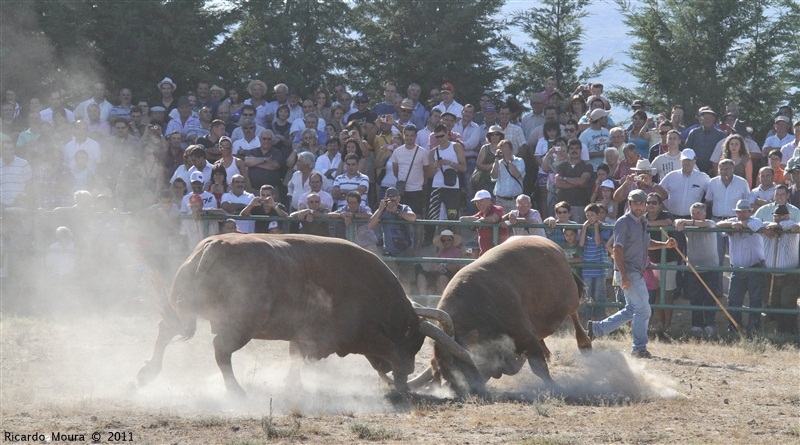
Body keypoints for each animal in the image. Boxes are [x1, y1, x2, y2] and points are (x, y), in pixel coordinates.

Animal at [137, 234, 462, 394]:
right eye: (413, 341)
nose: (408, 370)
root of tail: (214, 246)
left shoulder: (302, 337)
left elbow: (294, 357)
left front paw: (293, 385)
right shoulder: (332, 338)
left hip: (184, 307)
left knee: (165, 330)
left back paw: (147, 373)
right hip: (240, 326)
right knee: (221, 349)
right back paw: (235, 389)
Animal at [418, 234, 592, 394]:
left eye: (455, 363)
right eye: (438, 369)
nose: (452, 387)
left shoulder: (525, 334)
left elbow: (539, 367)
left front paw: (555, 386)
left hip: (571, 300)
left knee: (575, 319)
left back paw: (585, 345)